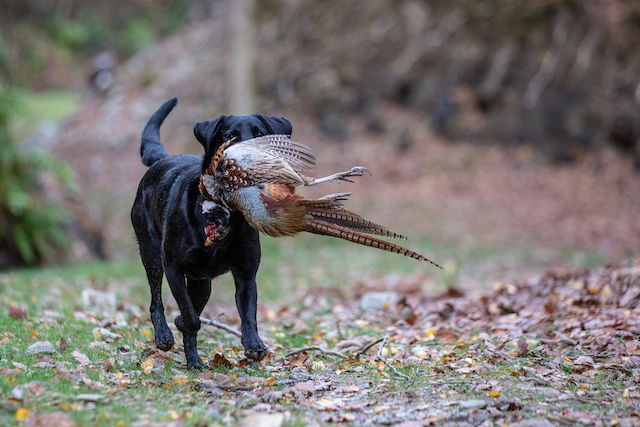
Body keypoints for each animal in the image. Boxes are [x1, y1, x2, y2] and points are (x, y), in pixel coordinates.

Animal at [131, 96, 292, 368]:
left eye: (260, 133)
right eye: (230, 135)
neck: (225, 212)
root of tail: (160, 161)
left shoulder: (246, 273)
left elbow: (248, 312)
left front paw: (254, 345)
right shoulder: (172, 266)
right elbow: (190, 317)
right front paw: (180, 323)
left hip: (202, 282)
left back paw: (194, 362)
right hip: (150, 251)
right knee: (156, 300)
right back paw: (164, 335)